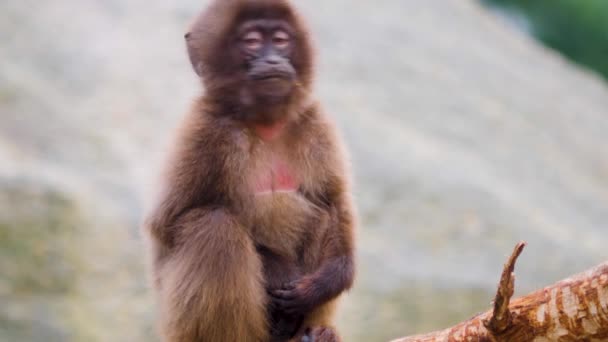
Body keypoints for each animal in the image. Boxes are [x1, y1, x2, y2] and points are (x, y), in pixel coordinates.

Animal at [143, 1, 358, 340]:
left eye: (280, 40)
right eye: (253, 42)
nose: (273, 59)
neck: (264, 122)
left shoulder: (314, 121)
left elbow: (334, 201)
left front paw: (327, 281)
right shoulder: (207, 131)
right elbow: (166, 225)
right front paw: (278, 269)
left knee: (322, 212)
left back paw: (309, 335)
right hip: (178, 324)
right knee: (214, 225)